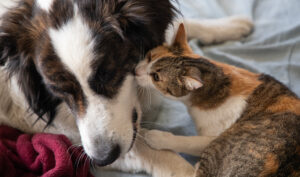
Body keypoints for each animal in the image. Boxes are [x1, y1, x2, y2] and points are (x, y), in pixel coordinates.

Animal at [0, 0, 253, 176]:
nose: (103, 158)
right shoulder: (70, 135)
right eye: (58, 90)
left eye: (109, 75)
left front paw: (227, 26)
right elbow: (154, 153)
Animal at [134, 23, 300, 177]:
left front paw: (155, 137)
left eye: (156, 77)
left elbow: (189, 142)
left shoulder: (212, 138)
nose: (136, 71)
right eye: (149, 57)